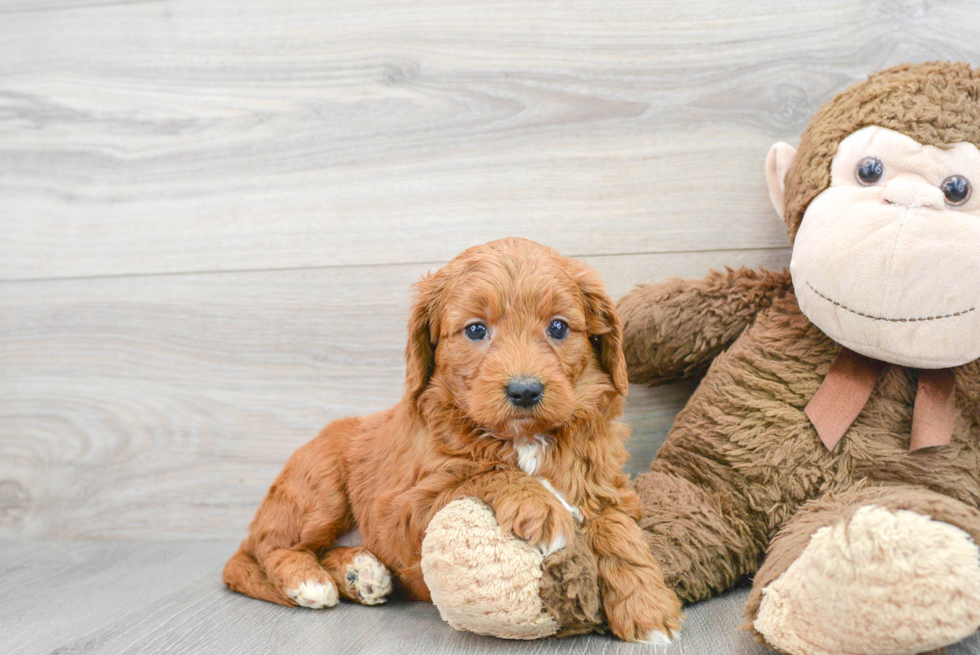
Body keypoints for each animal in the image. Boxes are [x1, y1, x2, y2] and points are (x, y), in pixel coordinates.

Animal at [224, 238, 680, 644]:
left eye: (558, 327)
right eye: (476, 330)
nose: (525, 391)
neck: (523, 438)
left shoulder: (604, 487)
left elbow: (620, 532)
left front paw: (648, 608)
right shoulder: (403, 510)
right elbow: (480, 472)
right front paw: (541, 505)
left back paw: (361, 572)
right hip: (319, 488)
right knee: (267, 550)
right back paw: (310, 581)